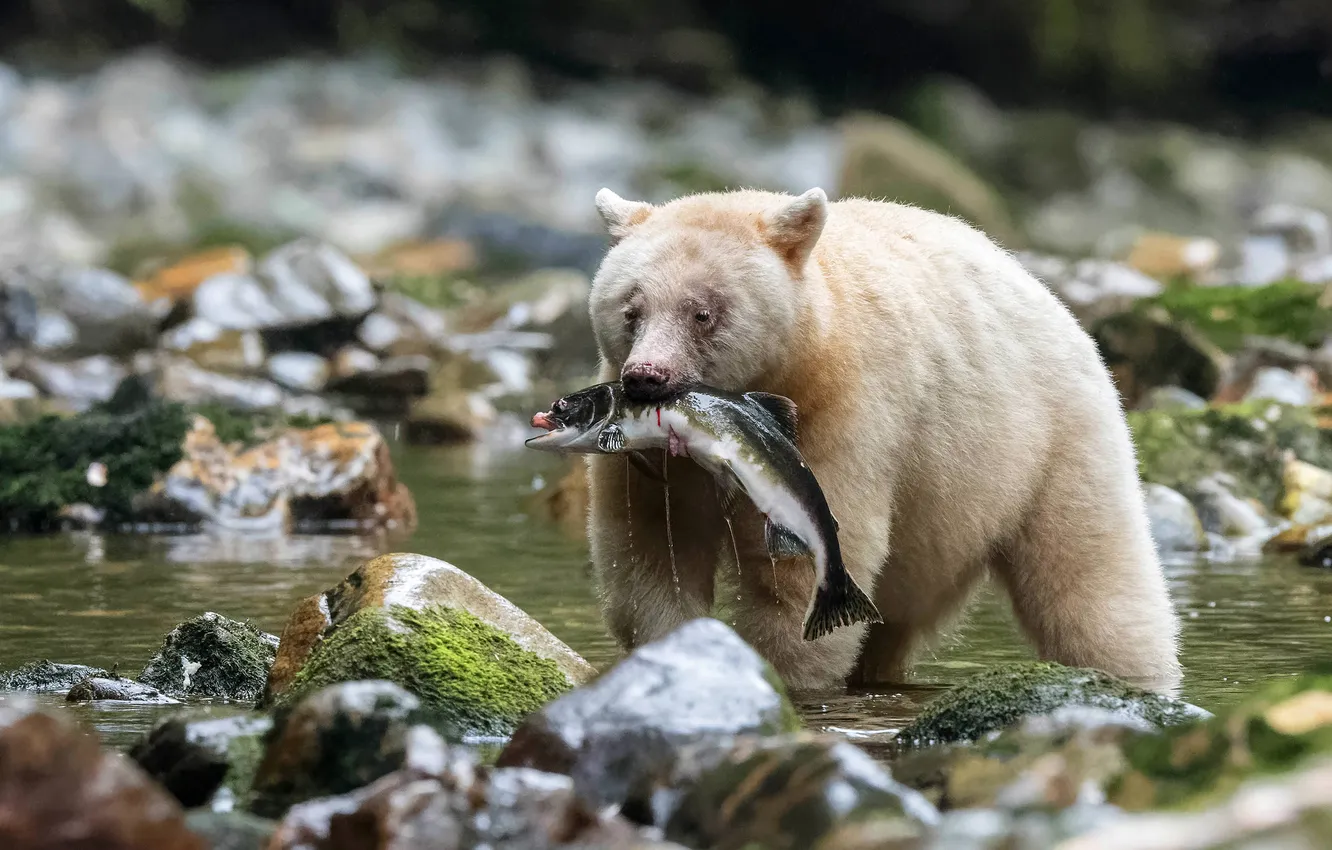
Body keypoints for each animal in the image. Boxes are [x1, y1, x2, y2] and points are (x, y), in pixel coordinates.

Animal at [582, 186, 1182, 695]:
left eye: (703, 312)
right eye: (631, 309)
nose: (645, 377)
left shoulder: (843, 414)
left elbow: (802, 570)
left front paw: (781, 674)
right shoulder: (650, 463)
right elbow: (651, 550)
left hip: (1051, 441)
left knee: (1091, 583)